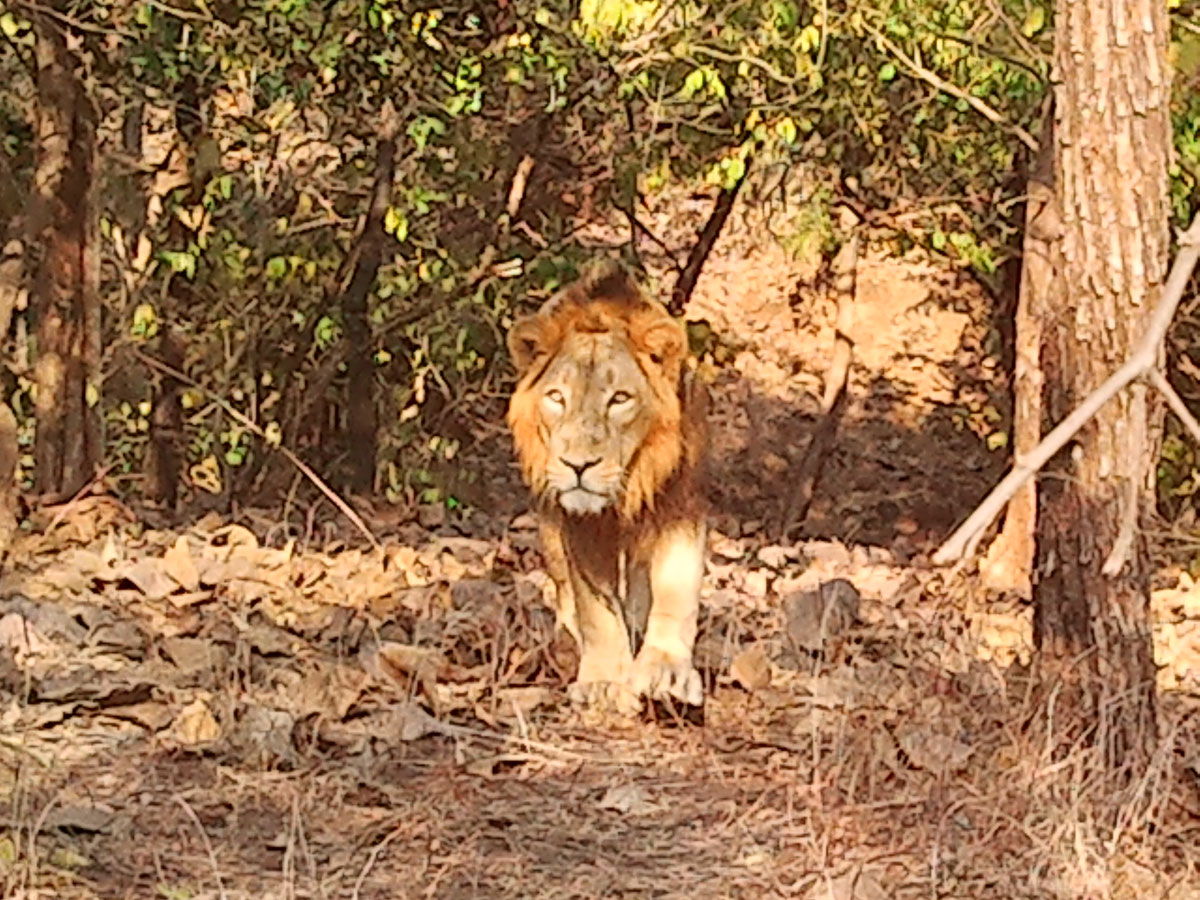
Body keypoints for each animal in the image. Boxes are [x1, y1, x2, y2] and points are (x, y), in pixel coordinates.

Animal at [504, 264, 705, 715]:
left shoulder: (680, 502)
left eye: (620, 399)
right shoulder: (580, 521)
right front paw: (603, 682)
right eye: (557, 397)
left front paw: (665, 673)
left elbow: (676, 589)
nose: (578, 465)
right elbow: (596, 609)